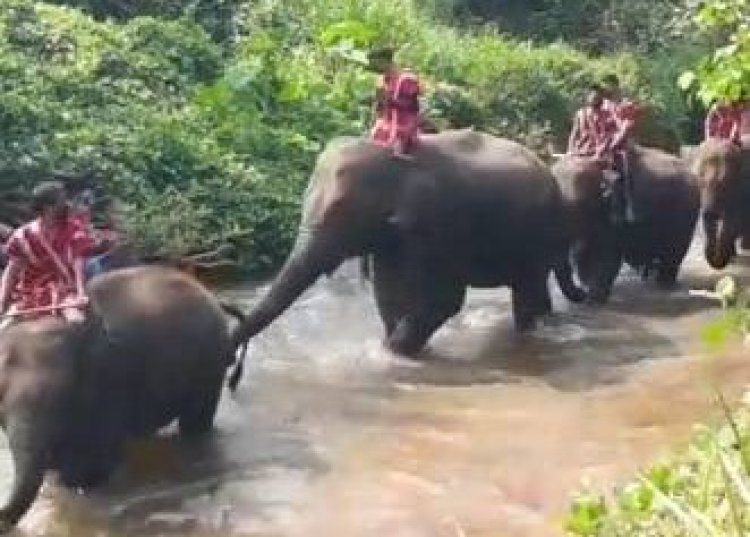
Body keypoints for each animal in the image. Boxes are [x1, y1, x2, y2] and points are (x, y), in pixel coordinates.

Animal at [0, 264, 244, 528]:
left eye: (61, 395)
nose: (5, 518)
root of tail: (210, 295)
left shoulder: (110, 383)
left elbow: (95, 460)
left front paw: (84, 488)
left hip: (209, 364)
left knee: (196, 422)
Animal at [229, 129, 588, 368]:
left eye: (339, 212)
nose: (232, 359)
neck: (393, 160)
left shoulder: (437, 224)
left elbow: (445, 298)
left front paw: (392, 356)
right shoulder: (393, 238)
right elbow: (387, 294)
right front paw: (390, 348)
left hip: (538, 231)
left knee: (526, 289)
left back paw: (530, 334)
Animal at [552, 144, 704, 304]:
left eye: (578, 203)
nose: (581, 294)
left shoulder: (612, 216)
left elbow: (606, 255)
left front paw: (593, 300)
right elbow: (584, 253)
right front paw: (589, 292)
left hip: (686, 215)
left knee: (674, 253)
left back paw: (664, 283)